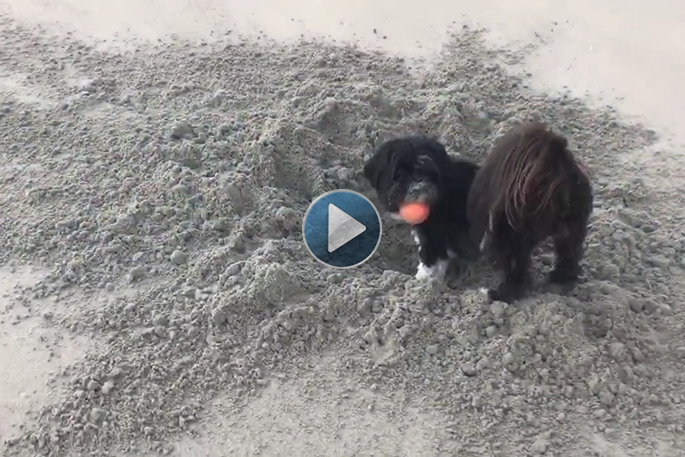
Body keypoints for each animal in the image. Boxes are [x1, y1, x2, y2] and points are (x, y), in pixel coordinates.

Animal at [363, 135, 481, 280]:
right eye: (399, 172)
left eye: (426, 170)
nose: (417, 182)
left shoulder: (432, 238)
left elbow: (429, 263)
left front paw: (420, 282)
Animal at [467, 121, 594, 303]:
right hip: (573, 223)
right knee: (569, 251)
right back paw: (560, 278)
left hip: (521, 229)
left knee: (519, 261)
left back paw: (503, 291)